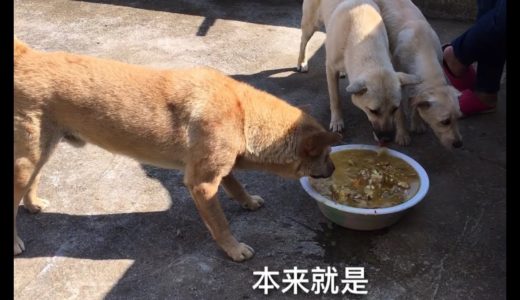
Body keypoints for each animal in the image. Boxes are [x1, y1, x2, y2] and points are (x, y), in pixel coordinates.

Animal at [13, 37, 342, 262]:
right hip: (27, 160)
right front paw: (233, 249)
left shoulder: (220, 169)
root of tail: (26, 56)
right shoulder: (202, 184)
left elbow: (237, 186)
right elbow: (220, 224)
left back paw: (33, 204)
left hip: (42, 152)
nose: (335, 169)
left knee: (32, 183)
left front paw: (248, 202)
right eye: (326, 155)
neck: (244, 116)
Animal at [294, 0, 420, 142]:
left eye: (394, 108)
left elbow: (401, 112)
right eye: (373, 111)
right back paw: (302, 62)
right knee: (303, 41)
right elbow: (335, 98)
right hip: (311, 24)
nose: (386, 138)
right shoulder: (330, 68)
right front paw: (337, 121)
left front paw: (402, 133)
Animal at [374, 0, 464, 149]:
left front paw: (417, 123)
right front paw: (402, 135)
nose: (458, 144)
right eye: (445, 122)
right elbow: (400, 112)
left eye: (459, 118)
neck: (422, 47)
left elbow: (416, 102)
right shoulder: (398, 82)